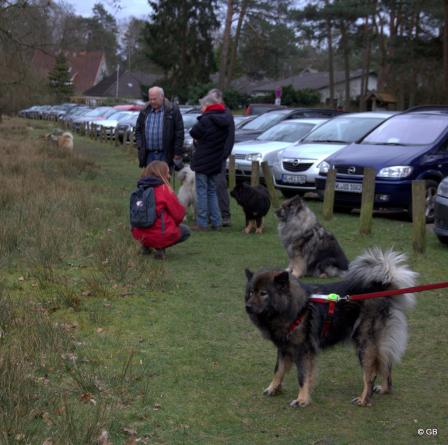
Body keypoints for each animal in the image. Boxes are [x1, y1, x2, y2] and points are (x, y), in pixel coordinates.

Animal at [245, 248, 416, 408]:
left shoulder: (303, 350)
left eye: (263, 293)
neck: (295, 308)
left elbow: (303, 376)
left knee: (370, 374)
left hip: (364, 343)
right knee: (386, 363)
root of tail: (380, 289)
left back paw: (363, 399)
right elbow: (278, 370)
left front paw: (302, 399)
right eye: (251, 292)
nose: (247, 307)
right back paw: (385, 389)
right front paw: (273, 388)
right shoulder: (284, 347)